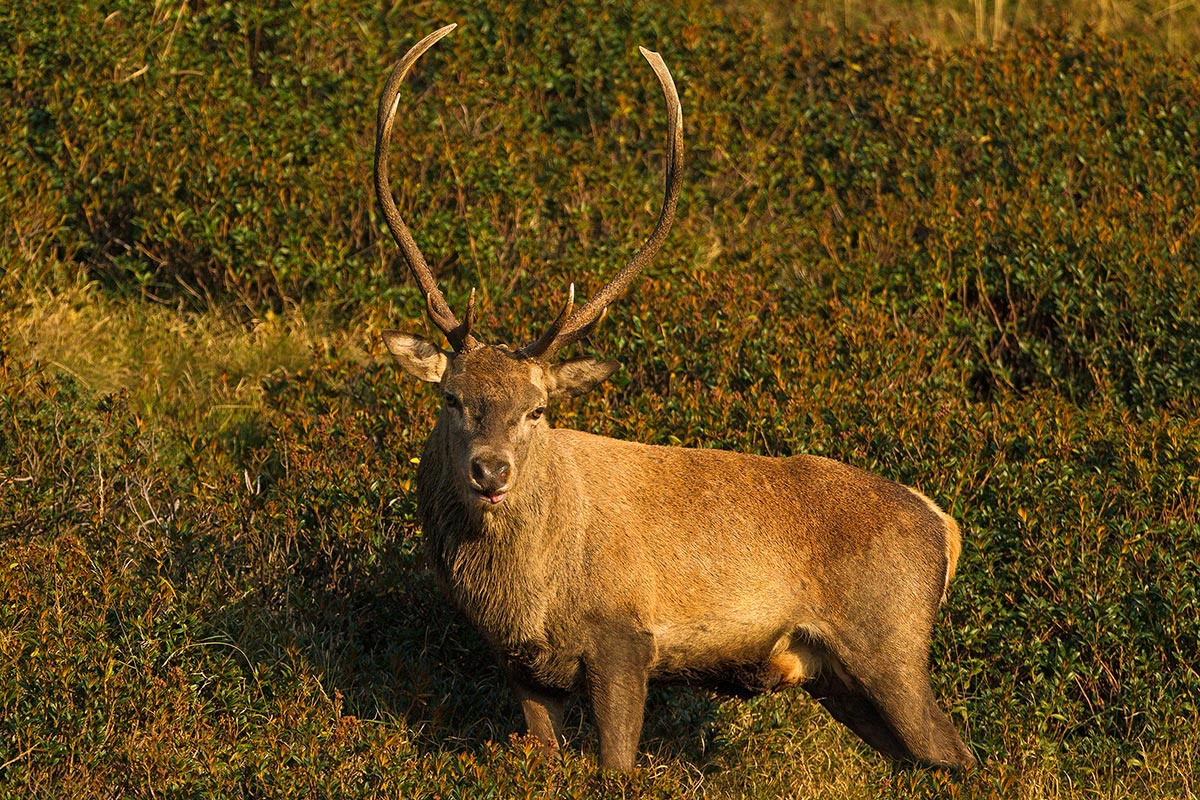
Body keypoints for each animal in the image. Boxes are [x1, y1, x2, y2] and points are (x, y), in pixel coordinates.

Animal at [375, 24, 975, 772]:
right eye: (453, 398)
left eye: (538, 409)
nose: (491, 470)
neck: (523, 596)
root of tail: (946, 526)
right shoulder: (526, 668)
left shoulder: (624, 637)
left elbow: (617, 765)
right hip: (841, 681)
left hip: (891, 646)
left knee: (960, 751)